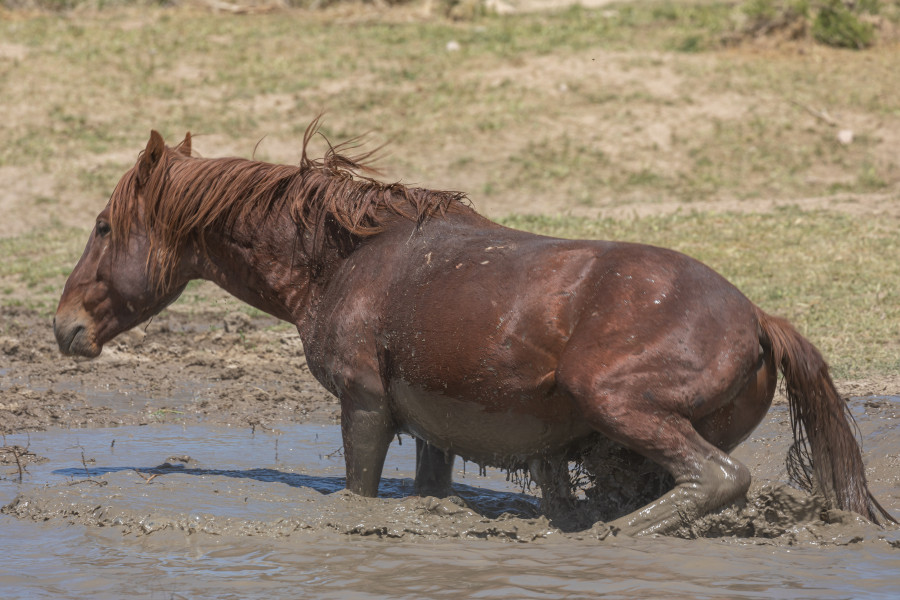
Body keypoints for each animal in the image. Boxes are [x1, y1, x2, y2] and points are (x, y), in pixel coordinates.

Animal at [54, 122, 892, 536]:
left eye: (102, 226)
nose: (63, 328)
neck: (345, 259)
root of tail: (758, 317)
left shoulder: (364, 406)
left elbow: (358, 493)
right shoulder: (433, 426)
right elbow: (429, 489)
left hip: (618, 402)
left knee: (716, 480)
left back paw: (618, 539)